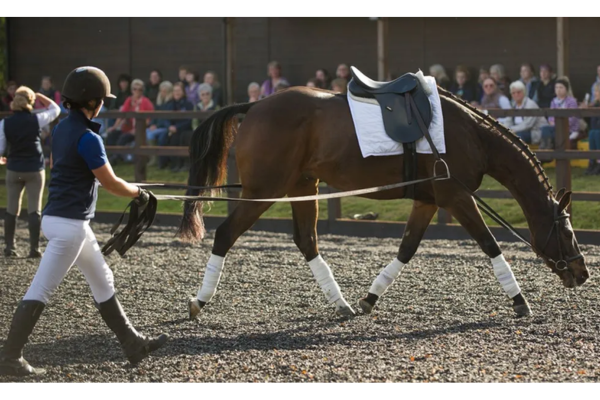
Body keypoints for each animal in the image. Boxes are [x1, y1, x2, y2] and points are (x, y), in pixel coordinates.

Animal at [177, 84, 584, 318]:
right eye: (566, 232)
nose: (583, 273)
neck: (469, 134)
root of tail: (256, 105)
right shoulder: (455, 196)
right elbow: (490, 244)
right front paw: (519, 300)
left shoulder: (429, 200)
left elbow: (406, 248)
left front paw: (370, 299)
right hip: (265, 189)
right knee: (226, 234)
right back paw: (199, 301)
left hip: (302, 186)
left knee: (307, 241)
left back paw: (341, 304)